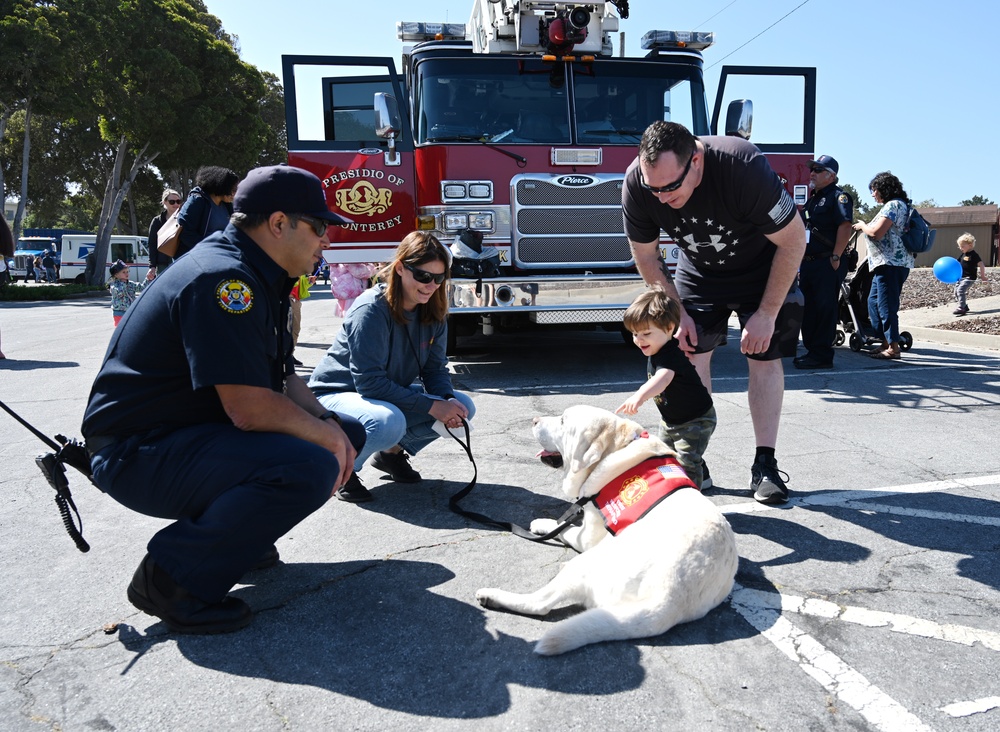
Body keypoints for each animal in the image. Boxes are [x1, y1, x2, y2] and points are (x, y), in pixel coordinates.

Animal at [472, 406, 740, 656]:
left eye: (563, 421)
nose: (535, 420)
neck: (614, 449)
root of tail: (668, 602)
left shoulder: (589, 535)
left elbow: (564, 528)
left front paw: (542, 523)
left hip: (585, 564)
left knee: (540, 603)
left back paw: (491, 595)